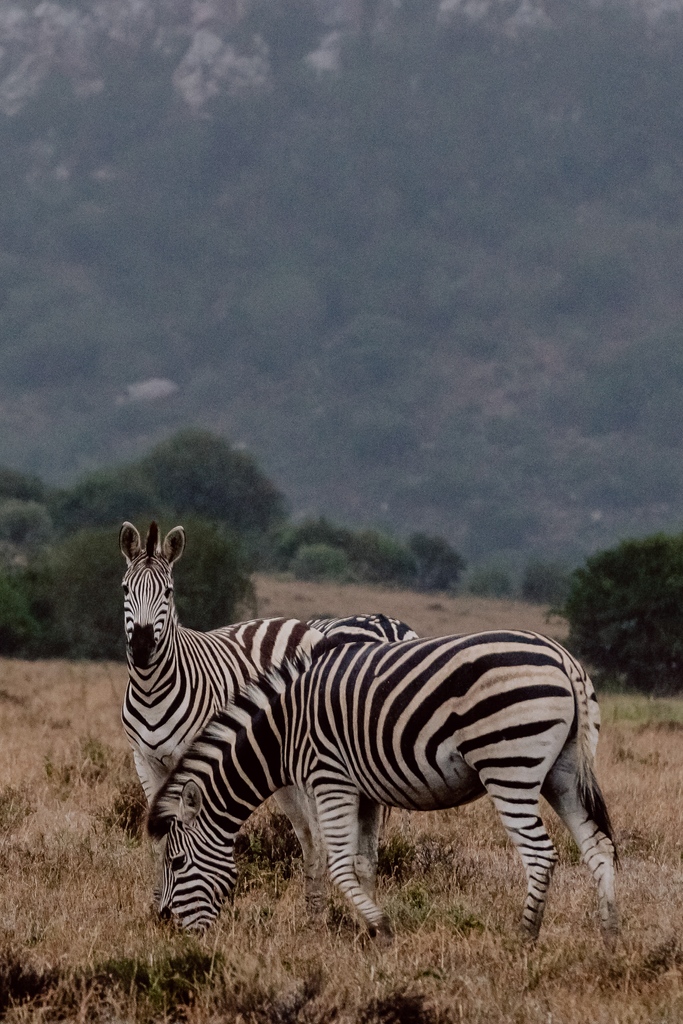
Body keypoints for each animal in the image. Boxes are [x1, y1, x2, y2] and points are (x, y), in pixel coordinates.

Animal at [119, 521, 416, 909]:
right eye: (125, 588)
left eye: (168, 592)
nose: (141, 648)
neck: (152, 689)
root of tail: (299, 624)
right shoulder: (144, 759)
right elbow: (159, 839)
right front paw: (157, 903)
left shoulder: (193, 760)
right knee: (309, 835)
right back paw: (312, 906)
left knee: (320, 833)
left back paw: (322, 908)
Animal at [148, 630, 619, 946]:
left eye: (175, 861)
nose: (164, 925)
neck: (281, 734)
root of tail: (562, 658)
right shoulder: (365, 792)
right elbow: (363, 863)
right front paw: (366, 932)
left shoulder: (329, 779)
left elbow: (338, 864)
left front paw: (382, 928)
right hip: (563, 772)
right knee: (598, 848)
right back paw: (611, 936)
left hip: (509, 766)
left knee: (540, 854)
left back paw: (524, 938)